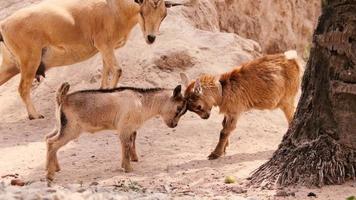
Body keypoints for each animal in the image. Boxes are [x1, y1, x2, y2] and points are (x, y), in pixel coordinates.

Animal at [0, 0, 184, 119]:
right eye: (142, 11)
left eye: (163, 14)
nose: (151, 37)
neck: (116, 8)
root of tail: (4, 24)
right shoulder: (104, 44)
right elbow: (117, 70)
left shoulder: (104, 49)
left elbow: (106, 70)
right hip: (30, 60)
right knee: (23, 88)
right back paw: (34, 114)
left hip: (12, 65)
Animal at [46, 81, 188, 181]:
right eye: (178, 108)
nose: (174, 125)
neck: (143, 102)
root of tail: (62, 98)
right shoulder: (125, 128)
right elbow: (126, 146)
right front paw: (129, 169)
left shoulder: (127, 129)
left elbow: (127, 145)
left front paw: (125, 165)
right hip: (71, 129)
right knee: (53, 144)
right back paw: (50, 175)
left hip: (60, 126)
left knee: (49, 139)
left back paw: (54, 168)